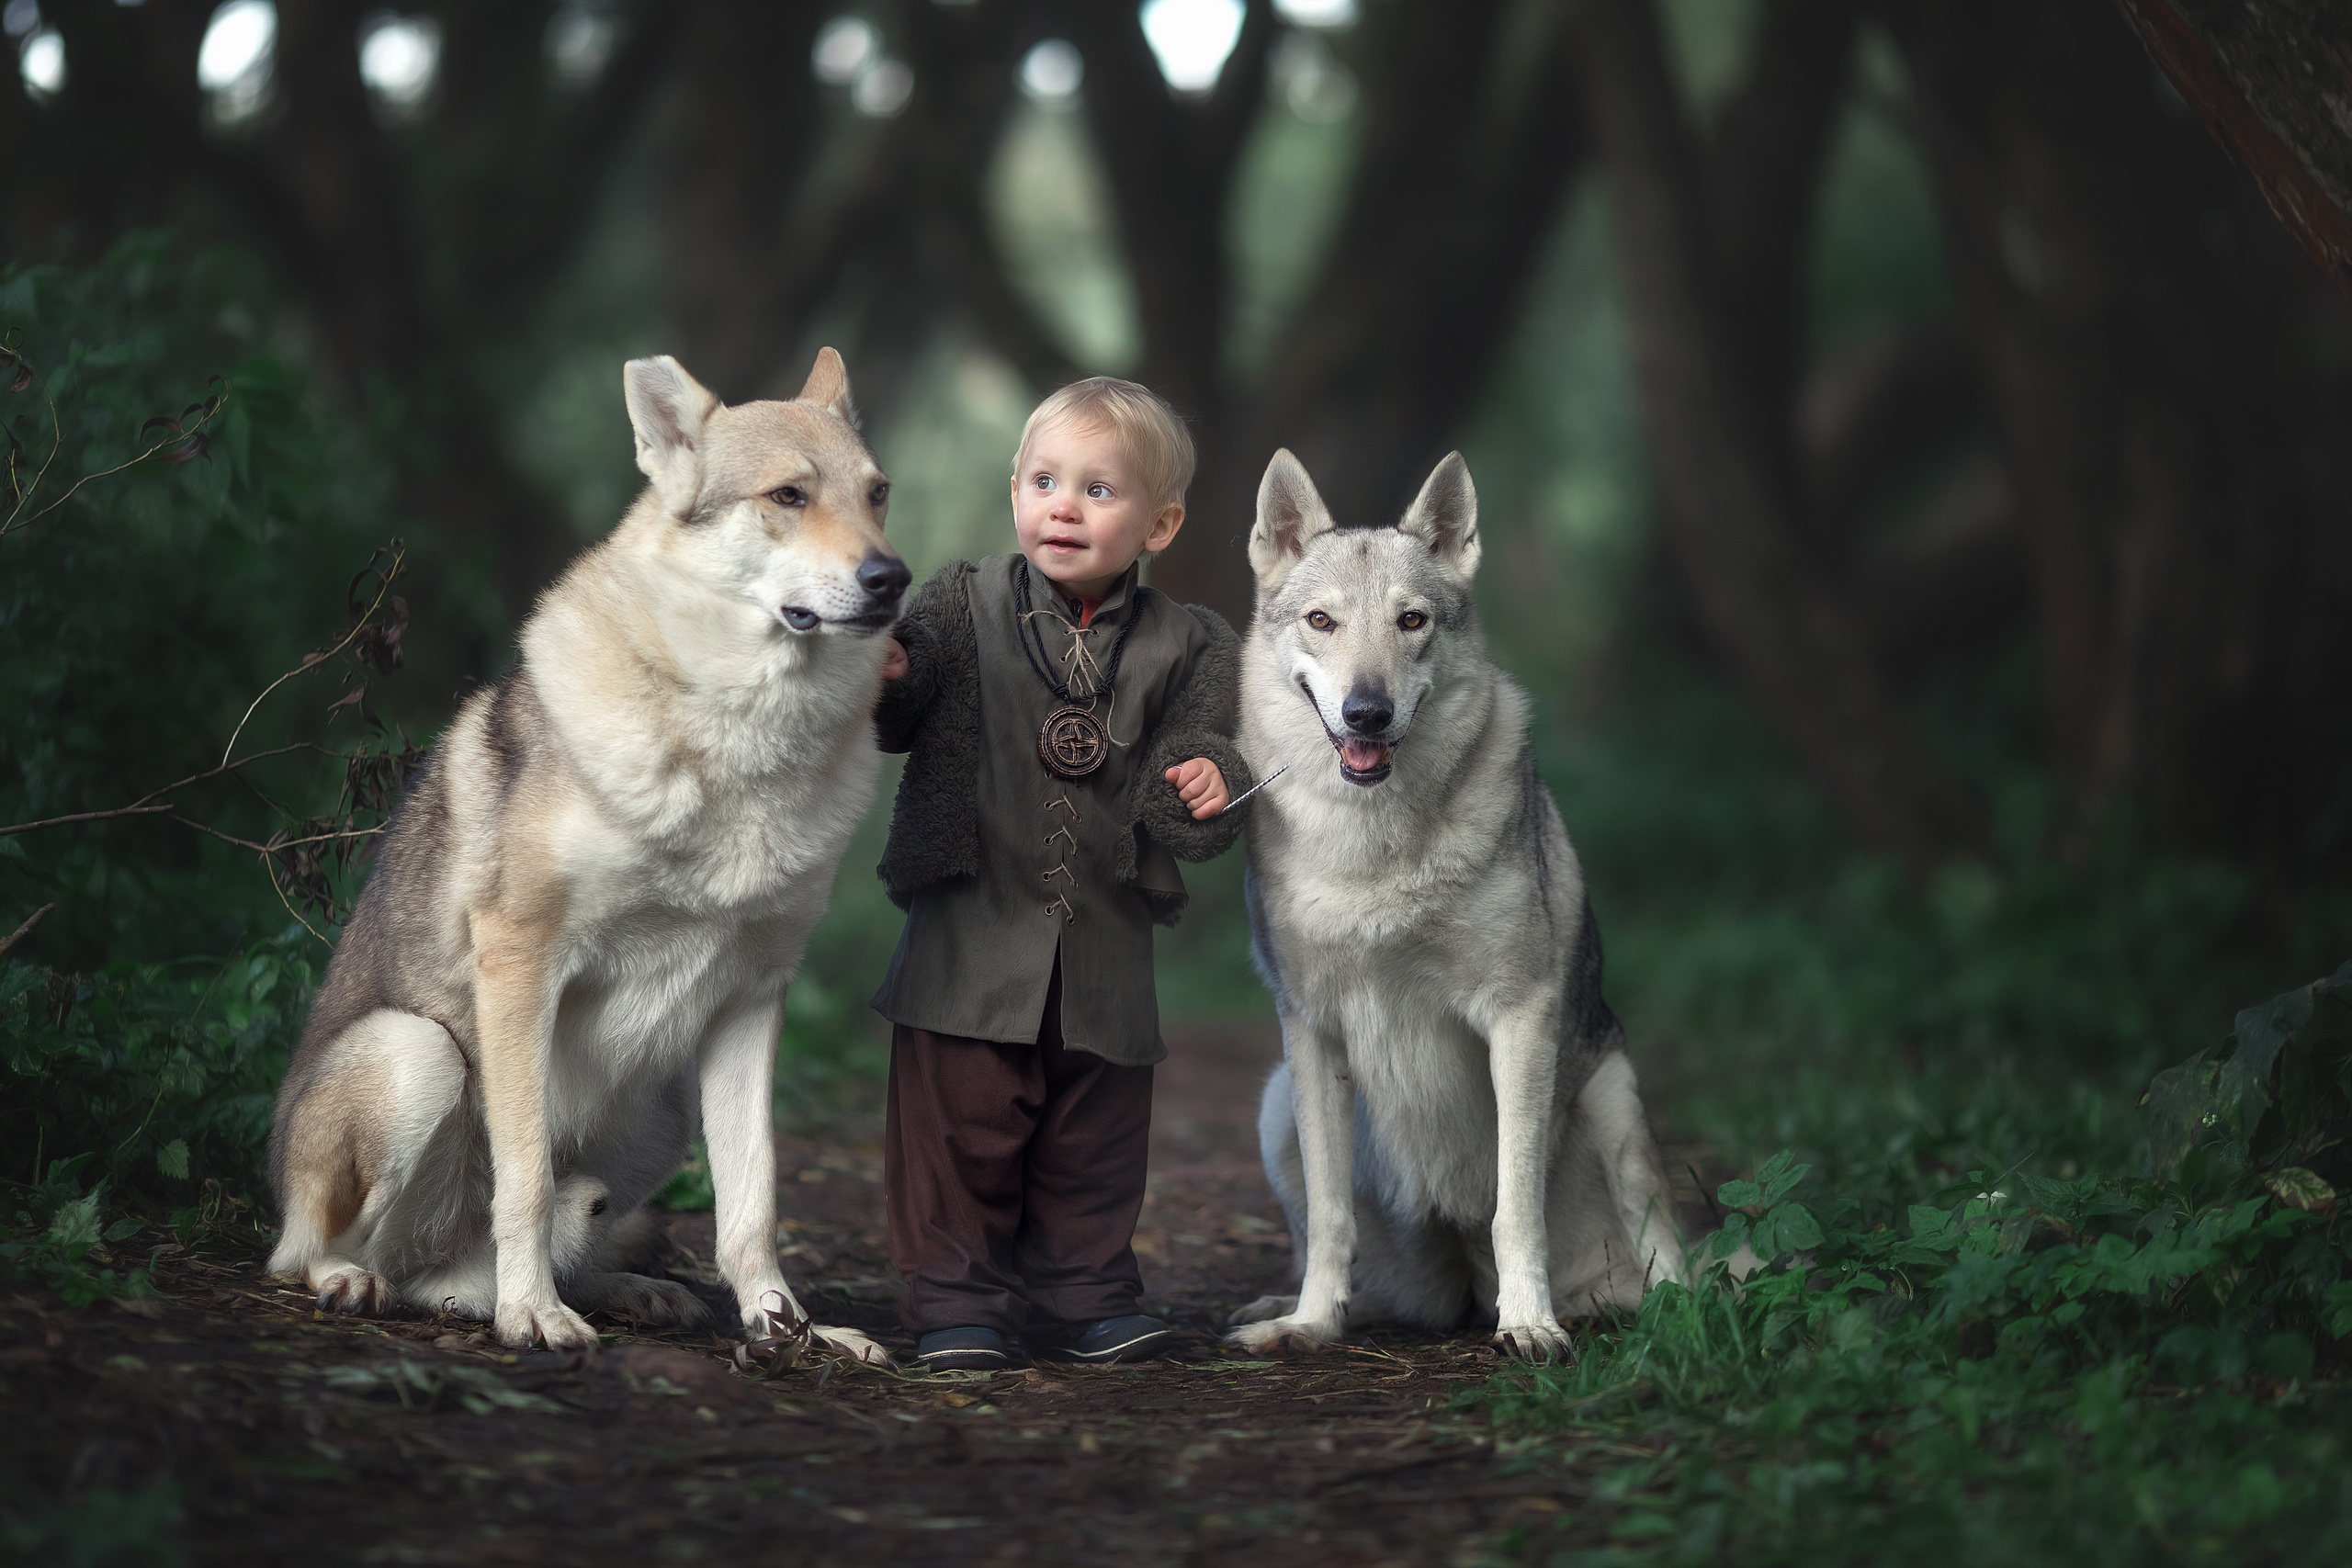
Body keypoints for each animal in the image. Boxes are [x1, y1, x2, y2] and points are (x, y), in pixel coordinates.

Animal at [266, 350, 908, 1358]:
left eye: (877, 493)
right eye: (788, 495)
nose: (893, 578)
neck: (734, 741)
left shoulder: (752, 999)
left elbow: (753, 1203)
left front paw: (789, 1328)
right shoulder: (523, 957)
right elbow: (527, 1177)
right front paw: (532, 1314)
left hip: (663, 1107)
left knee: (478, 1272)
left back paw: (620, 1293)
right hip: (419, 1055)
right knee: (318, 1253)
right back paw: (384, 1285)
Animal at [1224, 450, 1683, 1362]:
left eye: (1412, 621)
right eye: (1323, 621)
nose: (1368, 711)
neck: (1372, 844)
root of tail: (1459, 1283)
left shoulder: (1519, 1017)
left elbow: (1515, 1208)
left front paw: (1531, 1324)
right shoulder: (1311, 1029)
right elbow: (1330, 1216)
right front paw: (1310, 1323)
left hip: (1615, 1096)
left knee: (1681, 1266)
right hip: (1276, 1104)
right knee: (1350, 1260)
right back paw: (1292, 1312)